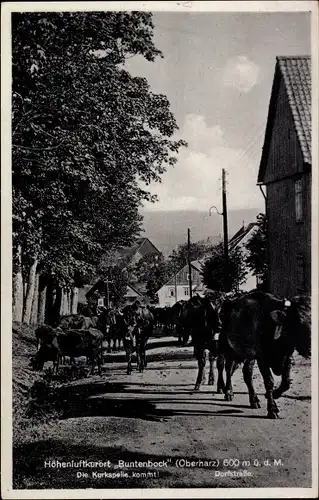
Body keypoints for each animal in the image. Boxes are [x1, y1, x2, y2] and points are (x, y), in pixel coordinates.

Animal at [219, 292, 312, 420]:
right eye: (298, 322)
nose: (310, 350)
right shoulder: (262, 358)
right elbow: (269, 382)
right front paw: (272, 409)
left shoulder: (287, 357)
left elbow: (286, 382)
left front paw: (273, 395)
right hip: (227, 348)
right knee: (228, 369)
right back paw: (228, 392)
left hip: (249, 356)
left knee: (247, 373)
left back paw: (254, 400)